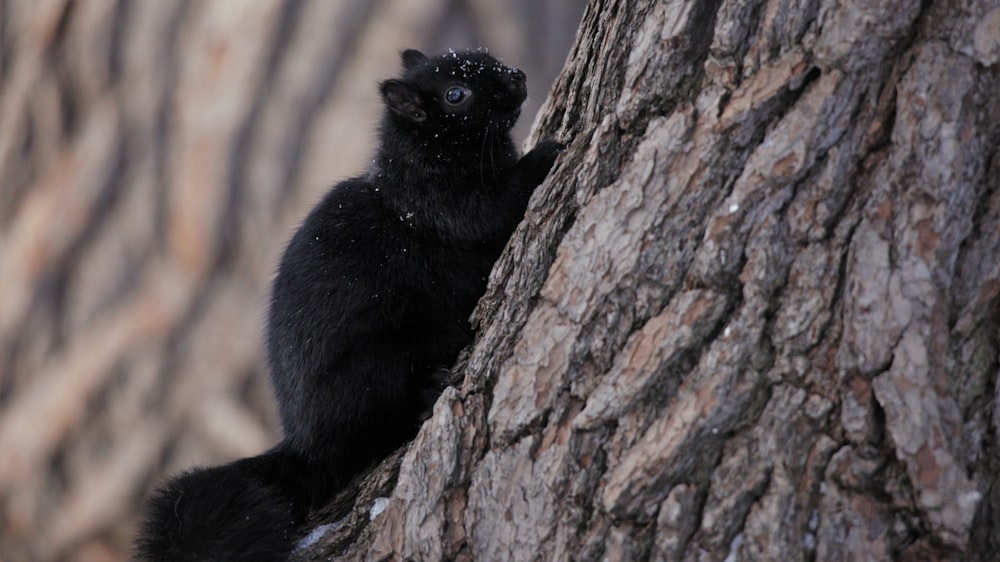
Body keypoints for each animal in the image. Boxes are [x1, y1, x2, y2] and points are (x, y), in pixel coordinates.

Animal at [135, 49, 564, 560]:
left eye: (486, 57)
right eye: (456, 95)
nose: (517, 77)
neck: (420, 163)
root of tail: (308, 447)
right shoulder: (445, 207)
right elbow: (496, 207)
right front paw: (546, 154)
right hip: (376, 370)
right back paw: (427, 392)